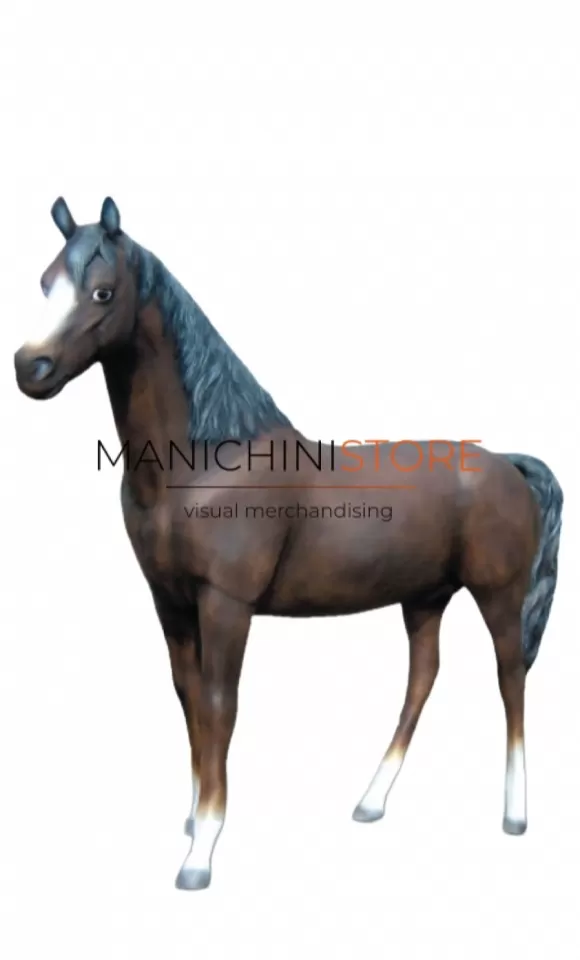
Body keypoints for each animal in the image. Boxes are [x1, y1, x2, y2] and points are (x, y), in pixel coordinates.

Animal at [14, 197, 563, 892]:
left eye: (102, 291)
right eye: (44, 282)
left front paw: (202, 851)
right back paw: (371, 801)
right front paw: (192, 820)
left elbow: (220, 705)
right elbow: (189, 701)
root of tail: (506, 464)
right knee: (422, 679)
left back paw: (515, 814)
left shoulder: (226, 605)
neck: (205, 463)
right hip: (425, 598)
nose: (29, 368)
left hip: (498, 595)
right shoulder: (171, 603)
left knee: (510, 678)